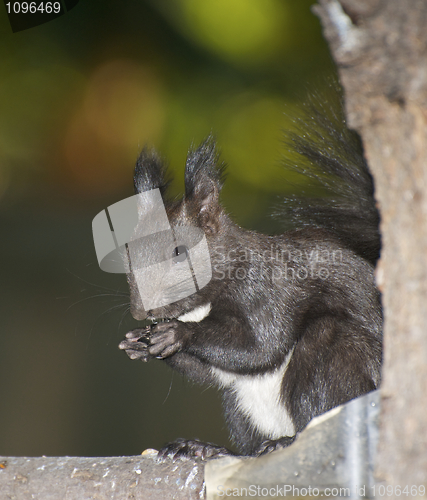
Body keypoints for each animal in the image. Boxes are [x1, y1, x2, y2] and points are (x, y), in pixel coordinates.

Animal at [118, 89, 384, 458]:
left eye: (179, 251)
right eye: (126, 251)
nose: (141, 312)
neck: (202, 305)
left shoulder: (271, 290)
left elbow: (261, 346)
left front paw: (178, 333)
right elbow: (209, 371)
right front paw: (138, 343)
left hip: (336, 359)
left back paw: (286, 441)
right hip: (239, 407)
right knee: (247, 446)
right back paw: (206, 448)